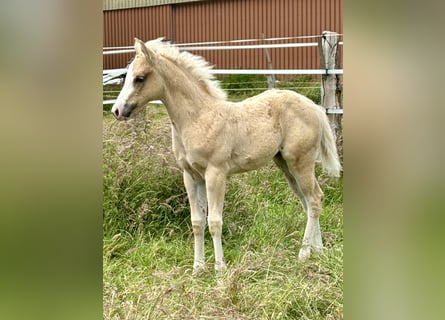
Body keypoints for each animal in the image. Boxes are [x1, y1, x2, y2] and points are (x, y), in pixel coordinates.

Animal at [111, 37, 340, 276]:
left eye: (139, 78)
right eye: (126, 77)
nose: (116, 110)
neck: (198, 118)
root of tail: (314, 107)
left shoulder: (215, 173)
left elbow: (214, 221)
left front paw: (219, 270)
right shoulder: (191, 176)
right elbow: (197, 222)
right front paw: (197, 269)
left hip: (300, 161)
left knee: (314, 199)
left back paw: (304, 253)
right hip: (285, 164)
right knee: (310, 200)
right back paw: (318, 250)